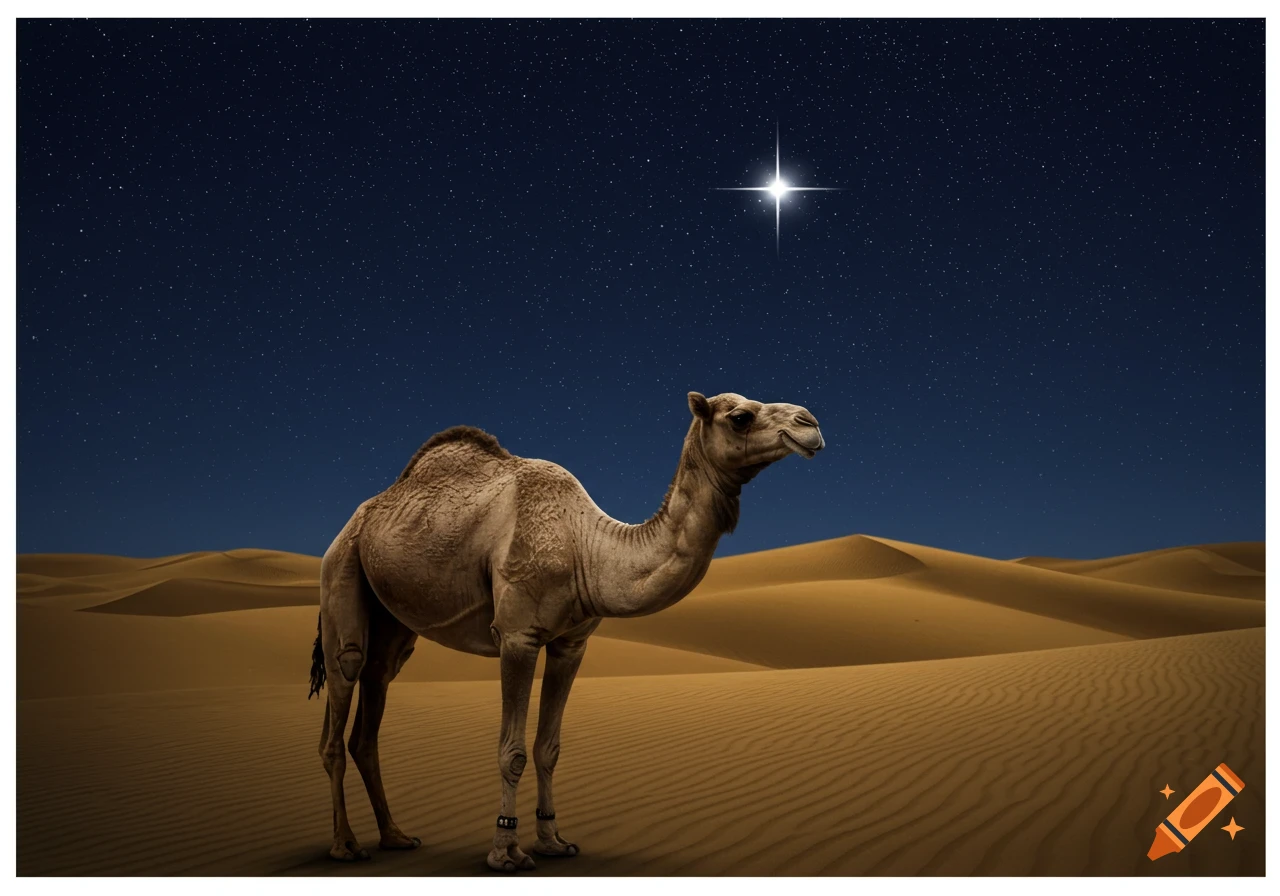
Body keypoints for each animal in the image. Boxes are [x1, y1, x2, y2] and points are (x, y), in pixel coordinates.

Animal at [308, 391, 824, 871]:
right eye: (740, 416)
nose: (811, 424)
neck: (586, 549)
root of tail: (356, 519)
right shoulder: (517, 635)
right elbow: (512, 750)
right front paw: (506, 852)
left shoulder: (570, 644)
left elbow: (548, 748)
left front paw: (553, 841)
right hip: (342, 571)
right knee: (344, 684)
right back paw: (346, 846)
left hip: (393, 621)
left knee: (375, 695)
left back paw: (395, 836)